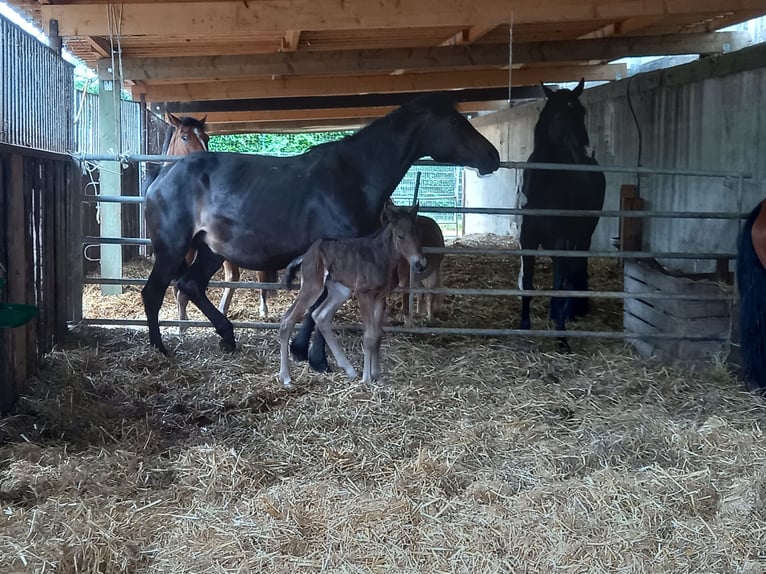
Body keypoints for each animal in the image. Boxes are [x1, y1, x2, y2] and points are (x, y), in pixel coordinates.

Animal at [142, 94, 504, 364]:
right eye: (454, 121)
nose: (493, 156)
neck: (352, 176)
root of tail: (162, 176)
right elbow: (319, 307)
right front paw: (311, 354)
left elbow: (318, 307)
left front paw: (303, 351)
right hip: (174, 248)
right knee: (155, 291)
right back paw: (160, 348)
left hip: (210, 251)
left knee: (191, 284)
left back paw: (227, 338)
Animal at [520, 79, 608, 354]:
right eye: (559, 115)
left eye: (582, 112)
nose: (586, 151)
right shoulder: (527, 240)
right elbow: (527, 283)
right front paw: (523, 327)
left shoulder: (561, 240)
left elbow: (560, 282)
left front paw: (562, 338)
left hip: (581, 236)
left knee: (572, 271)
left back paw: (570, 310)